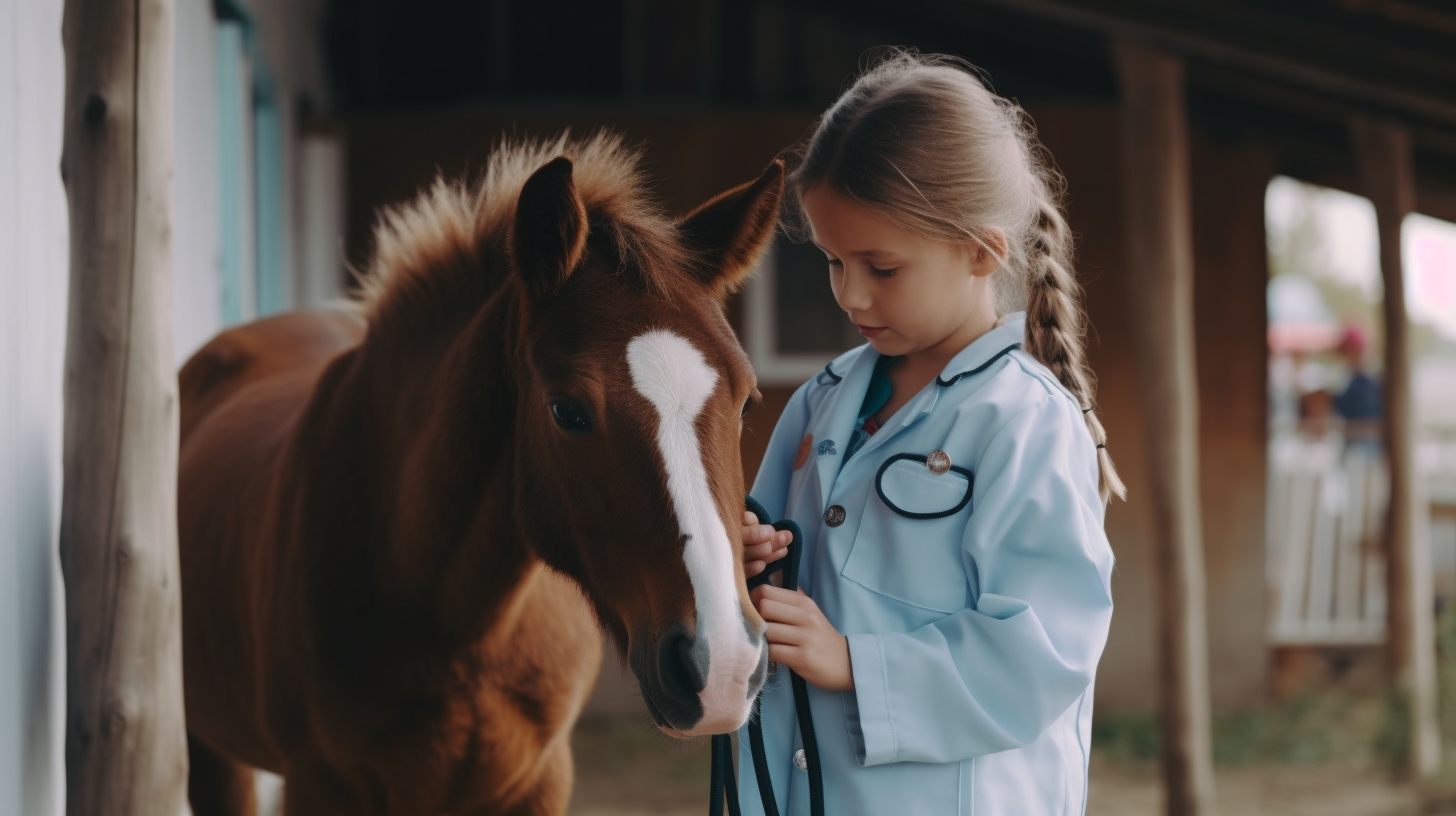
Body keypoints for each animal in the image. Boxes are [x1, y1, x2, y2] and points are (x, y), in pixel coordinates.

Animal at [180, 135, 786, 816]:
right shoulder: (319, 785)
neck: (457, 622)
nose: (723, 666)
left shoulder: (540, 781)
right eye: (567, 411)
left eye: (747, 402)